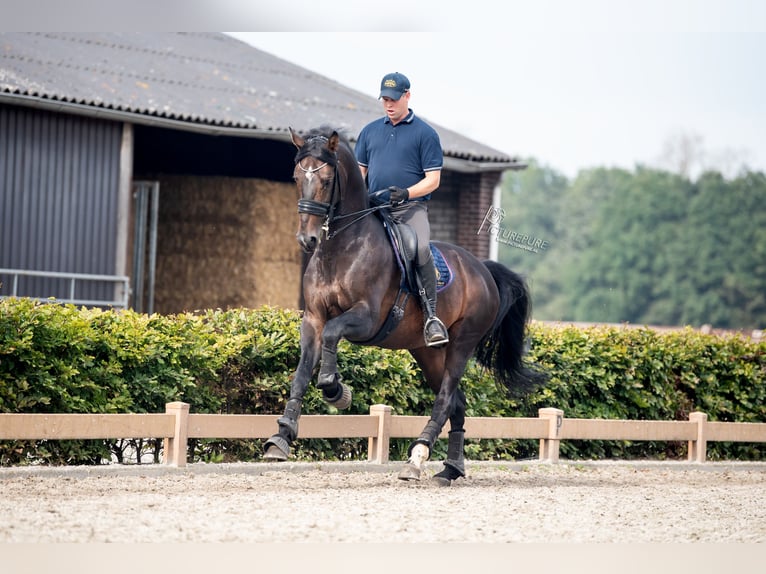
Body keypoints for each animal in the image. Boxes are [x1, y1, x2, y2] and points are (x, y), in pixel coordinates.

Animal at [263, 125, 546, 483]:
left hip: (462, 343)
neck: (341, 248)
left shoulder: (365, 318)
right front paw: (281, 437)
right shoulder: (312, 318)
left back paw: (418, 456)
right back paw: (450, 469)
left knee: (445, 399)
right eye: (297, 177)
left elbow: (331, 335)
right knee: (458, 402)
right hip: (427, 352)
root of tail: (482, 269)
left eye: (326, 181)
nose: (307, 240)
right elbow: (301, 374)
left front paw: (335, 391)